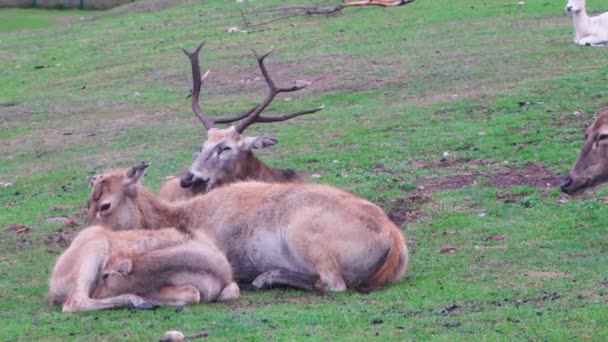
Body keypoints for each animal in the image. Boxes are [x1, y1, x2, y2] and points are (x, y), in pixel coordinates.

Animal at [48, 223, 239, 312]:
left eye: (106, 275)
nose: (97, 292)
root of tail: (54, 282)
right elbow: (193, 293)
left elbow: (232, 291)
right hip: (92, 245)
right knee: (75, 301)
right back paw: (139, 302)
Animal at [85, 164, 408, 292]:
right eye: (87, 201)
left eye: (105, 205)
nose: (84, 233)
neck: (182, 217)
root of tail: (394, 236)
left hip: (303, 235)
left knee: (333, 283)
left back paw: (266, 277)